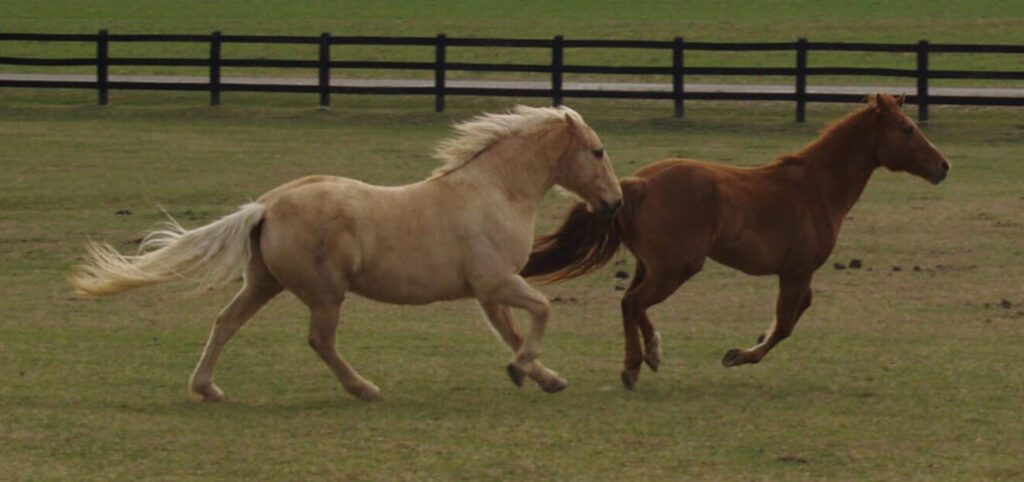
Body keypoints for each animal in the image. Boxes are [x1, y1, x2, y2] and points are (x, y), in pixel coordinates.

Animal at [70, 106, 622, 403]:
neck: (495, 191)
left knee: (226, 322)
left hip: (264, 283)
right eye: (597, 151)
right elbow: (541, 313)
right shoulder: (497, 282)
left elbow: (513, 333)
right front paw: (527, 370)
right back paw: (365, 389)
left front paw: (542, 377)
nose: (615, 201)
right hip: (324, 294)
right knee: (320, 341)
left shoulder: (488, 292)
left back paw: (208, 389)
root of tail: (266, 206)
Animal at [524, 93, 954, 388]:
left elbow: (795, 315)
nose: (943, 166)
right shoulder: (796, 272)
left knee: (634, 303)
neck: (816, 188)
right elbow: (785, 324)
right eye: (907, 129)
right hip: (676, 269)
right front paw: (737, 355)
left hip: (654, 265)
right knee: (632, 303)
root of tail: (638, 183)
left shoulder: (799, 274)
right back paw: (632, 368)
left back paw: (652, 354)